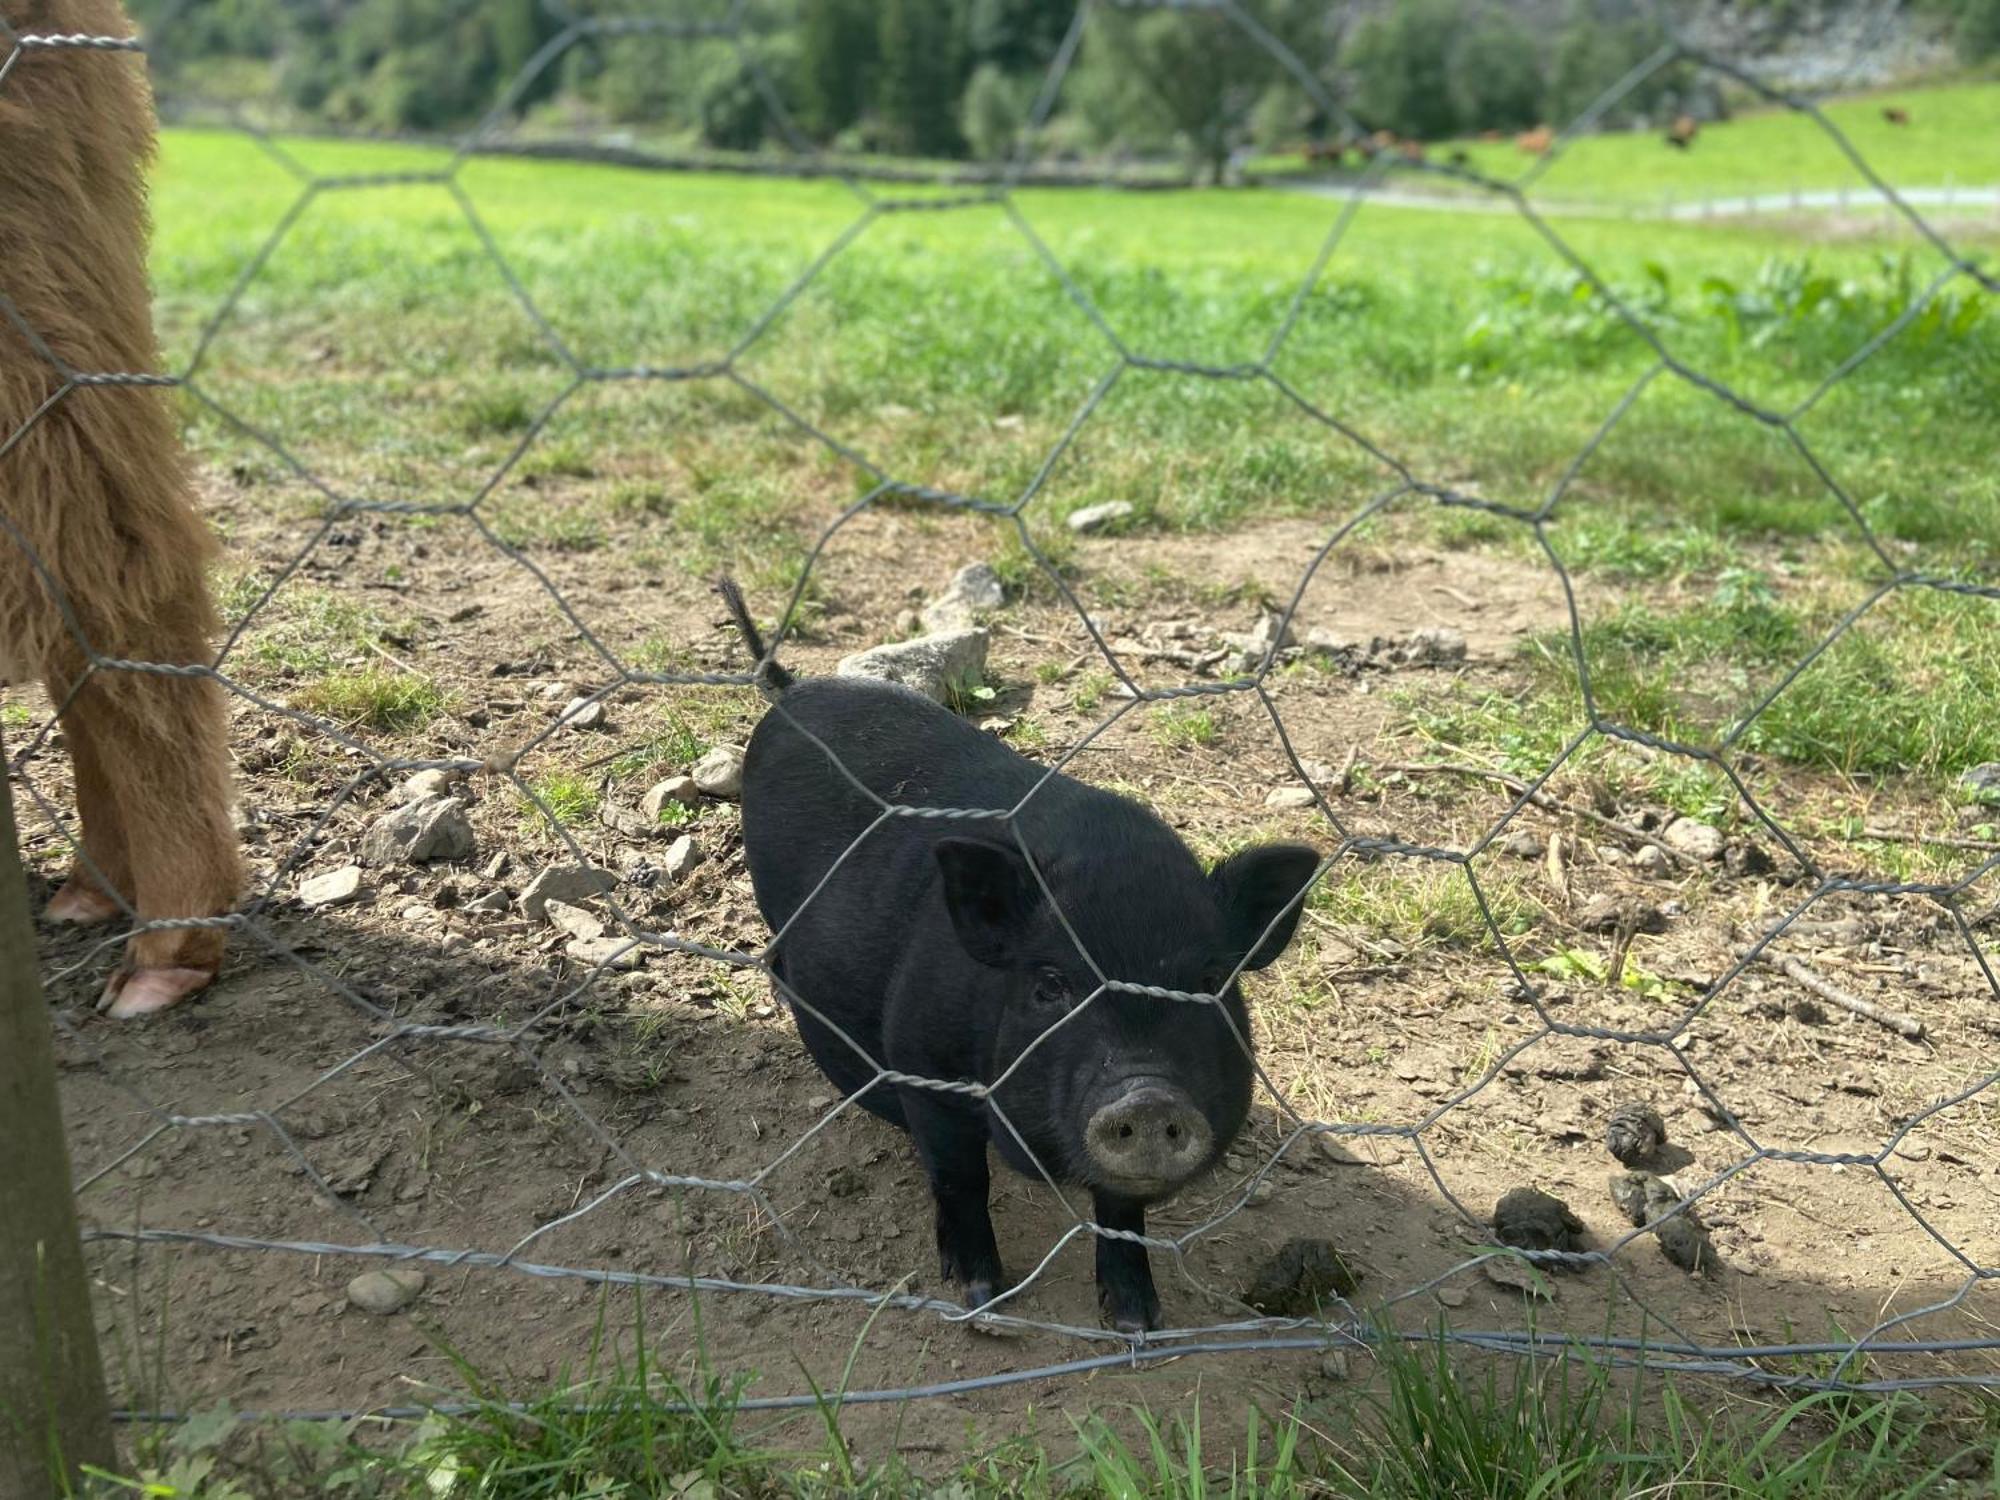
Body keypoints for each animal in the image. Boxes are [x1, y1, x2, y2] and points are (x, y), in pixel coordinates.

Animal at [724, 580, 1328, 1336]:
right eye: (1050, 984)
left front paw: (1137, 1322)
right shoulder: (925, 1062)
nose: (1148, 1095)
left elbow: (1121, 1213)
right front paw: (984, 1301)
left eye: (1212, 981)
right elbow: (962, 1178)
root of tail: (790, 689)